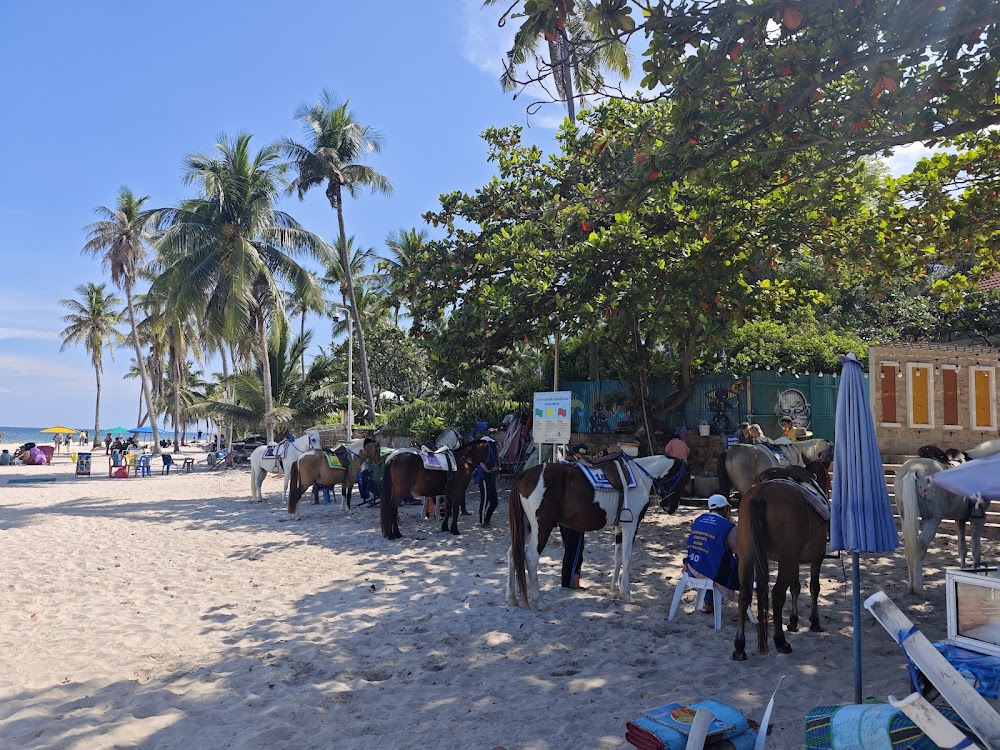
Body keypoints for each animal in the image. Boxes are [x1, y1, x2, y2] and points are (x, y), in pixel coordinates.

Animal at [504, 452, 684, 612]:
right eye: (684, 478)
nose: (671, 507)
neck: (640, 476)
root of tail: (525, 474)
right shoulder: (631, 527)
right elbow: (627, 559)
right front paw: (627, 594)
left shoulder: (619, 527)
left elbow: (618, 558)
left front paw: (614, 589)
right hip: (542, 527)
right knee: (531, 557)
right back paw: (539, 601)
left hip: (525, 526)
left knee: (513, 553)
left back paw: (512, 597)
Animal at [732, 462, 832, 660]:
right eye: (827, 477)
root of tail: (761, 494)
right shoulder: (816, 557)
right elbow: (814, 587)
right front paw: (814, 621)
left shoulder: (793, 561)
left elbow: (795, 587)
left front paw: (793, 622)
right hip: (787, 560)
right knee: (777, 594)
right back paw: (780, 641)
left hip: (747, 557)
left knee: (744, 596)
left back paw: (740, 646)